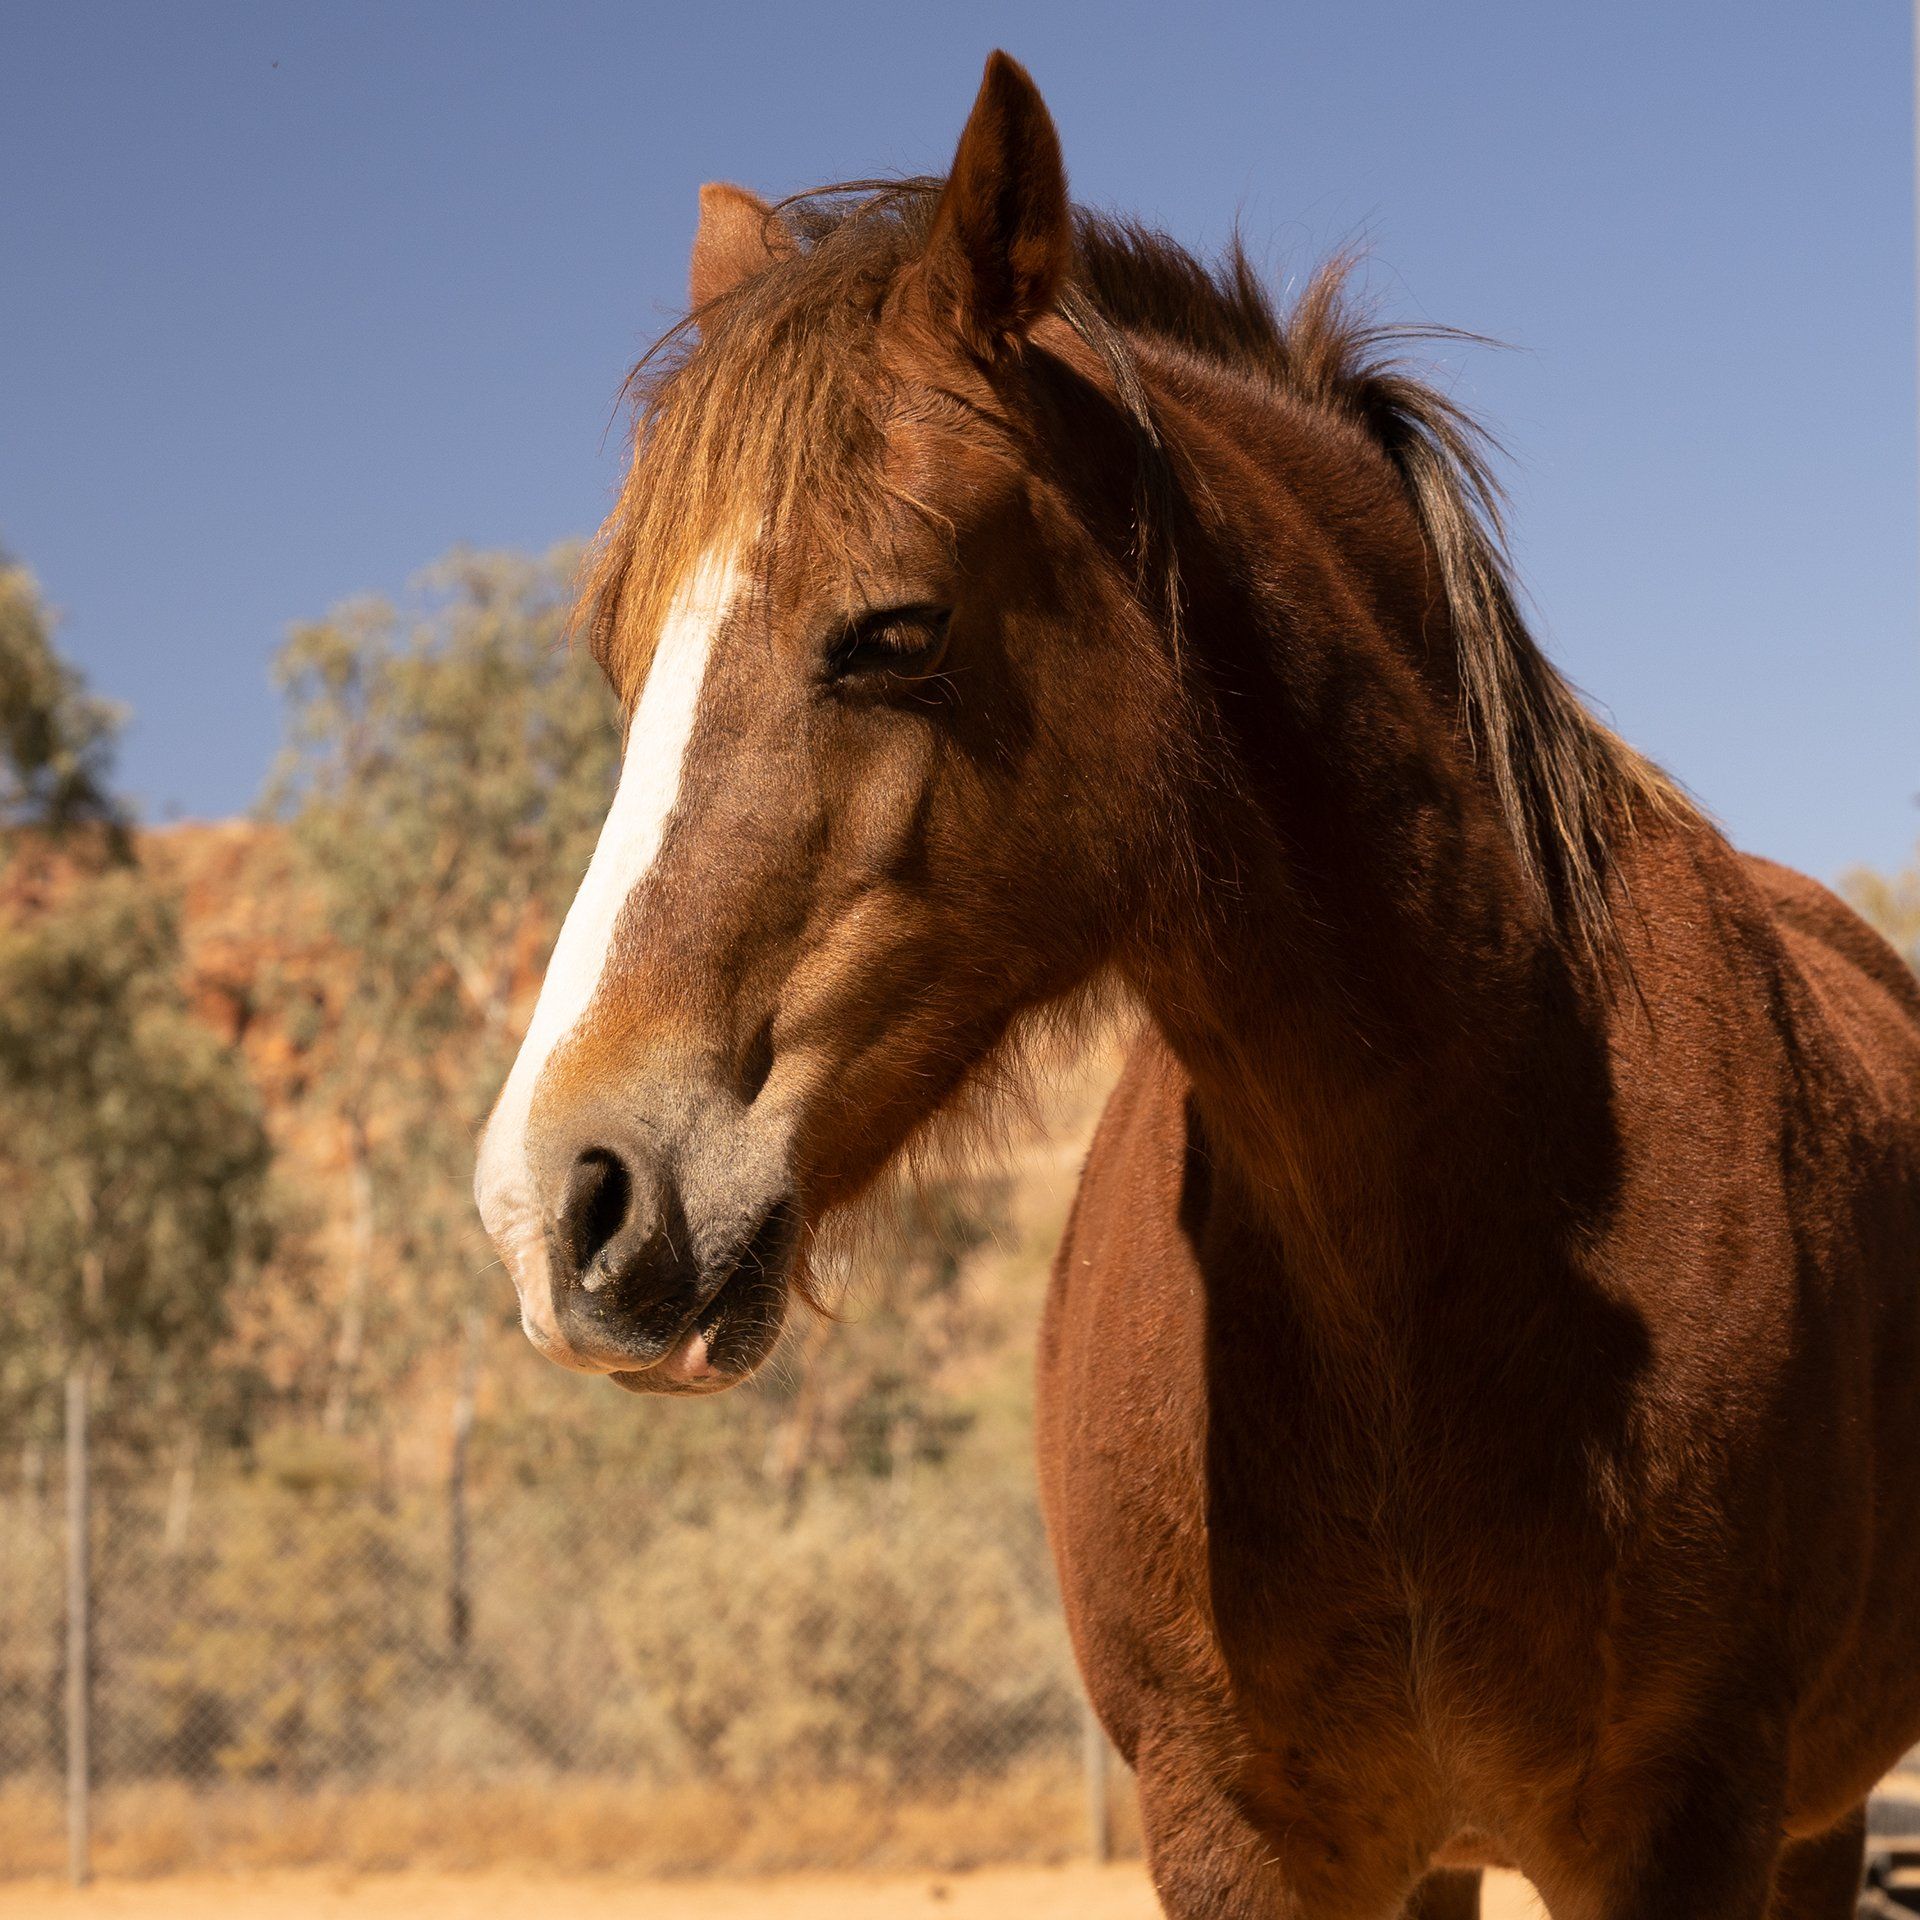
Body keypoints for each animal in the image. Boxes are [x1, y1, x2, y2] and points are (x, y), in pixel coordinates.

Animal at [473, 51, 1920, 1919]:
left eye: (896, 631)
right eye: (619, 656)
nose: (560, 1199)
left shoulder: (1688, 1830)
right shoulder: (1241, 1842)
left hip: (1809, 1822)